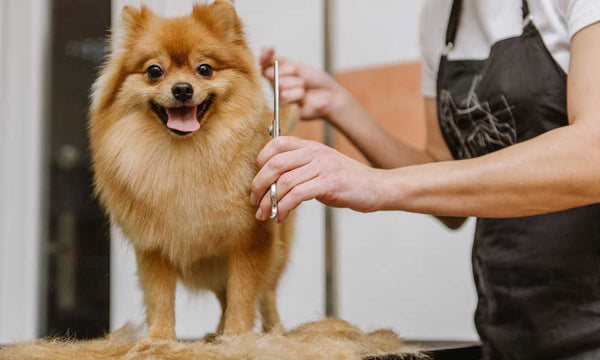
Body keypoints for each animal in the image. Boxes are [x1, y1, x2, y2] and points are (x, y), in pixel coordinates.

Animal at [88, 0, 296, 340]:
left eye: (205, 69)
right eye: (154, 71)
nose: (183, 89)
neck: (187, 156)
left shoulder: (250, 240)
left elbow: (243, 293)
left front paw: (237, 337)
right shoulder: (153, 246)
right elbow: (160, 296)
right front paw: (158, 339)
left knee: (265, 294)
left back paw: (271, 331)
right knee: (223, 296)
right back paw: (215, 334)